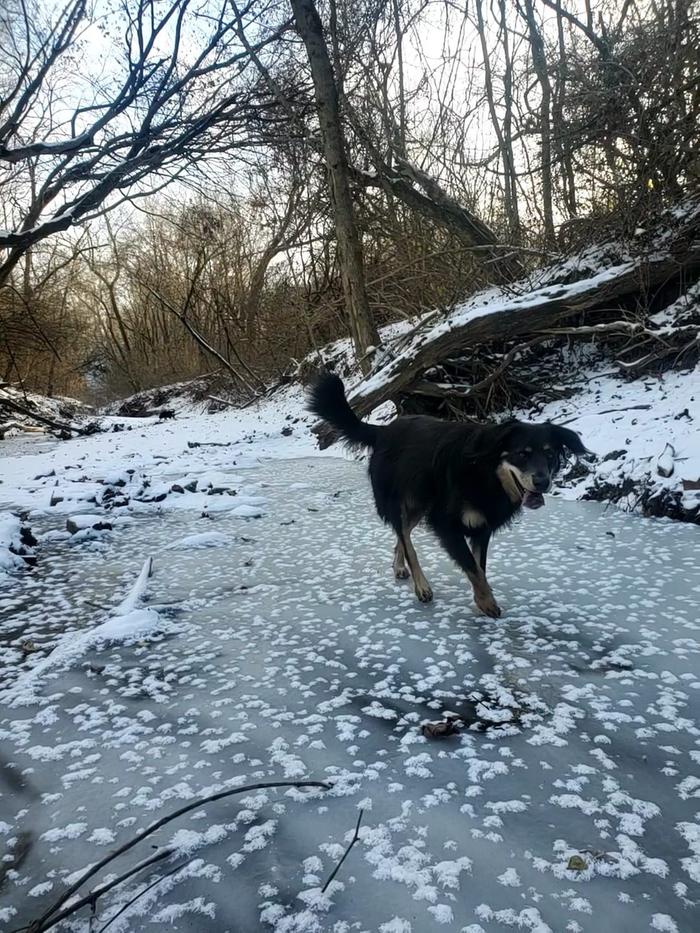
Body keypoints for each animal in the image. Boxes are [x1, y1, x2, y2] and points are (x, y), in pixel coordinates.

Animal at [308, 372, 588, 620]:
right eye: (522, 454)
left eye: (549, 454)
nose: (543, 482)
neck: (484, 472)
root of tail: (383, 431)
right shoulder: (445, 523)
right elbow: (472, 567)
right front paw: (486, 602)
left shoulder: (481, 527)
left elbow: (479, 567)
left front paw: (482, 598)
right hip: (400, 501)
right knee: (406, 540)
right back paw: (421, 586)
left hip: (420, 504)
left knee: (403, 534)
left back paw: (399, 567)